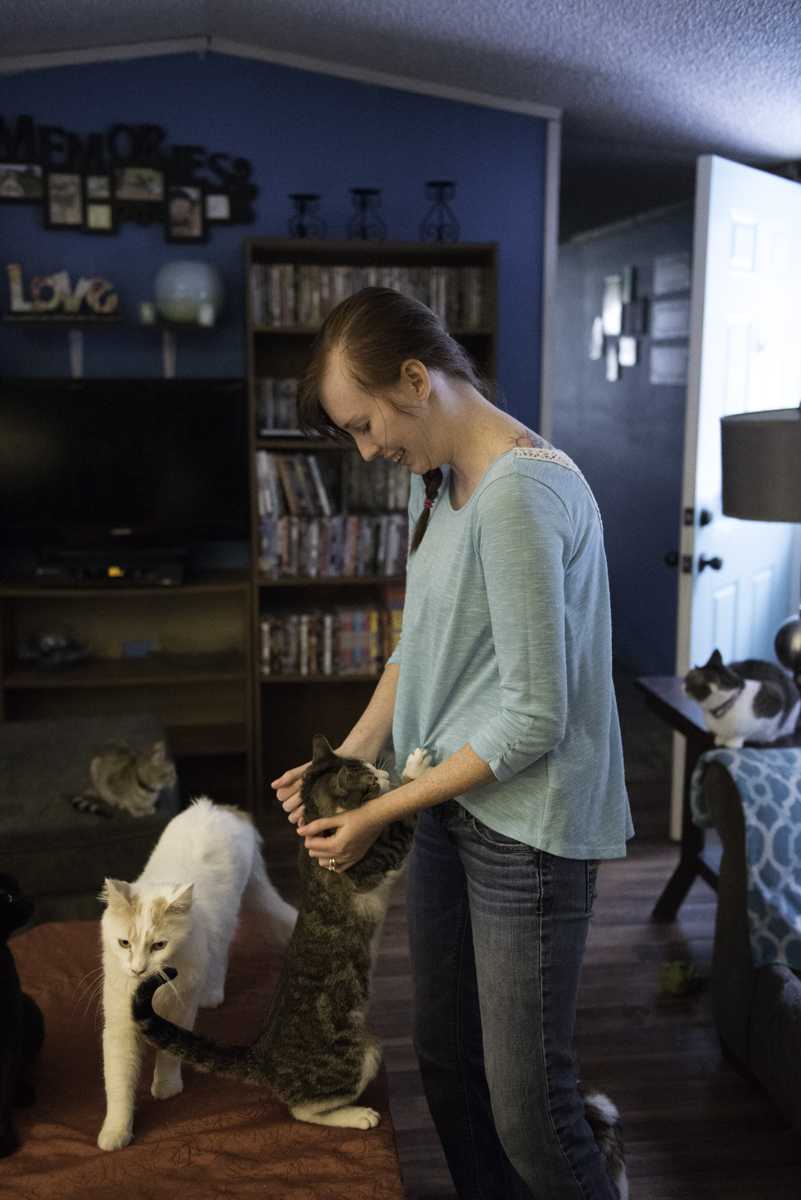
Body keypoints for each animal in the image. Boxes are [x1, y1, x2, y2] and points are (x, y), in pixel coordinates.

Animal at [97, 796, 297, 1152]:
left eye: (159, 945)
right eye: (124, 943)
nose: (138, 969)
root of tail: (219, 807)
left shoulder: (180, 1008)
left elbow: (169, 1051)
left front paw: (167, 1086)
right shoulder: (119, 1022)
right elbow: (119, 1082)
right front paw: (116, 1133)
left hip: (226, 922)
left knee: (221, 955)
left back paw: (212, 993)